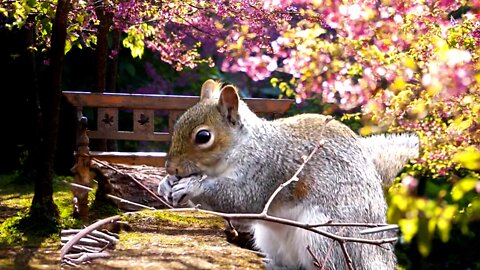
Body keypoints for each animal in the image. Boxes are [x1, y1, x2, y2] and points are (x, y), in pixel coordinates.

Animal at [158, 79, 420, 268]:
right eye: (177, 123)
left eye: (203, 136)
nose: (171, 168)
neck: (243, 146)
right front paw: (166, 184)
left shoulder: (267, 171)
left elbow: (241, 201)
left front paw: (191, 186)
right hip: (271, 238)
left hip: (325, 236)